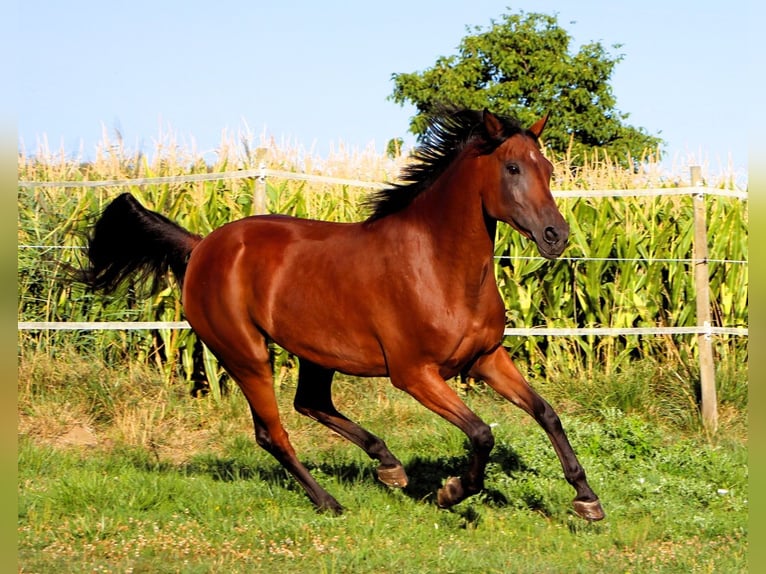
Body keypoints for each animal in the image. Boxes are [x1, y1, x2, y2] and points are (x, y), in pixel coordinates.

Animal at [80, 108, 604, 521]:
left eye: (548, 168)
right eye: (512, 167)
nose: (557, 235)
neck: (438, 266)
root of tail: (201, 246)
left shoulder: (486, 357)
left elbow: (546, 412)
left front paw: (586, 499)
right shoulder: (414, 374)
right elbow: (480, 433)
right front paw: (451, 492)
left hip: (316, 352)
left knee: (310, 403)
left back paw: (389, 466)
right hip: (245, 354)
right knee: (272, 431)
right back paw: (329, 502)